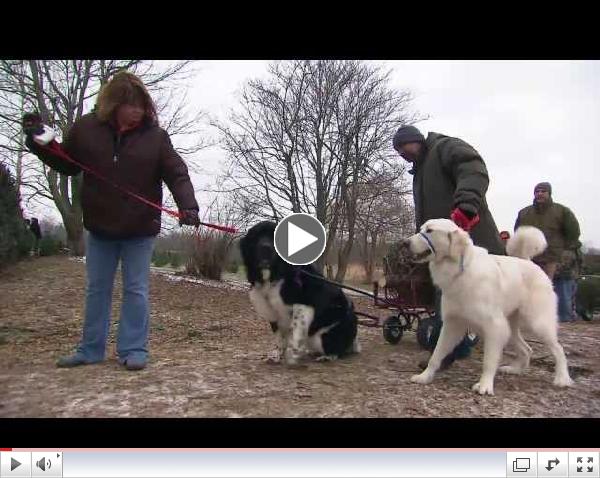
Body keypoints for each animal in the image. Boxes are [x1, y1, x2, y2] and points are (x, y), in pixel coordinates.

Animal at [240, 221, 360, 366]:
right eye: (256, 237)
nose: (266, 247)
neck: (275, 275)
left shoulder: (302, 306)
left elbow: (296, 333)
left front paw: (293, 355)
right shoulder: (273, 313)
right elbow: (279, 339)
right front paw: (276, 356)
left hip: (323, 336)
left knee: (336, 349)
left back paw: (327, 356)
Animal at [404, 220, 572, 396]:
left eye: (430, 231)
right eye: (421, 229)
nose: (404, 243)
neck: (460, 269)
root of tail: (529, 262)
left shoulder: (494, 327)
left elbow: (489, 361)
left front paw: (485, 385)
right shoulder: (452, 325)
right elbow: (435, 356)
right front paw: (425, 376)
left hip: (537, 324)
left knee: (559, 349)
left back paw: (562, 378)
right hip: (511, 330)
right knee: (527, 349)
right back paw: (515, 370)